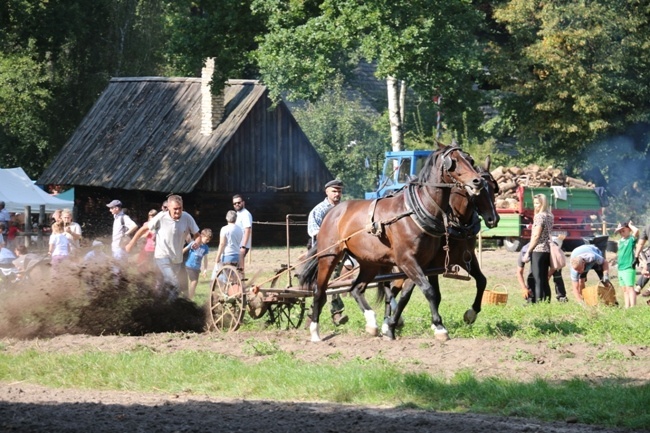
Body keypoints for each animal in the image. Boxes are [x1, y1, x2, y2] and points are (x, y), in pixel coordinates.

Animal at [296, 142, 484, 340]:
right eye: (453, 161)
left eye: (469, 159)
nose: (477, 181)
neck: (415, 211)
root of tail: (333, 211)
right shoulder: (406, 260)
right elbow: (429, 291)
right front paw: (439, 327)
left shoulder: (423, 263)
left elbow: (409, 294)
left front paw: (393, 325)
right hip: (329, 256)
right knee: (320, 291)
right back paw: (315, 331)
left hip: (369, 262)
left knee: (356, 288)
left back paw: (372, 323)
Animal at [380, 157, 502, 340]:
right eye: (477, 191)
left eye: (494, 189)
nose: (493, 219)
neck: (456, 222)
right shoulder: (428, 264)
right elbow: (427, 294)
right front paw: (436, 324)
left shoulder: (466, 257)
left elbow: (482, 281)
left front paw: (471, 314)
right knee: (391, 287)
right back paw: (386, 322)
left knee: (393, 288)